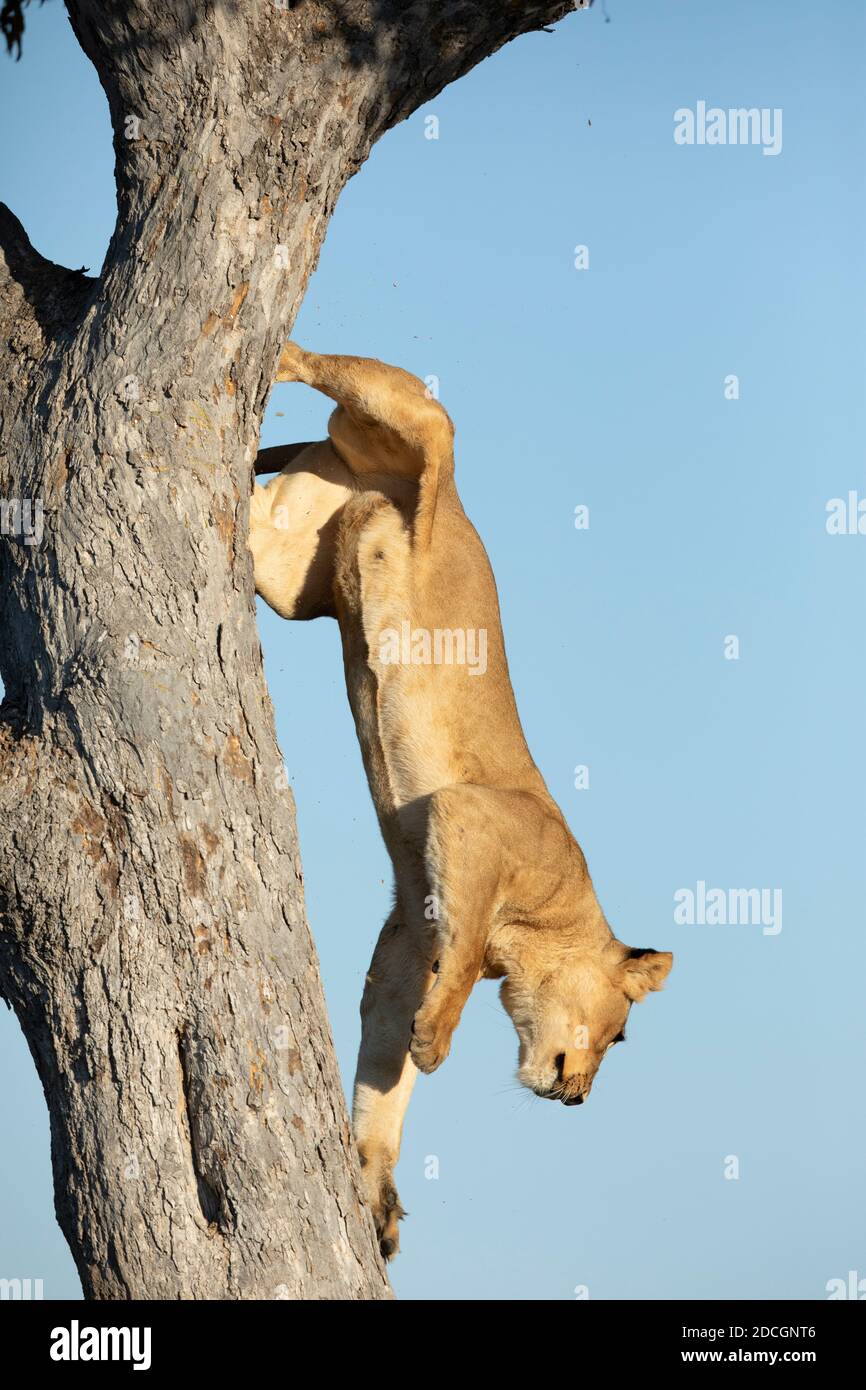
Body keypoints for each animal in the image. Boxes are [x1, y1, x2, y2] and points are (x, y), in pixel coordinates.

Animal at [250, 343, 673, 1259]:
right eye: (621, 1033)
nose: (580, 1098)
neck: (554, 921)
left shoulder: (409, 935)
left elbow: (384, 1072)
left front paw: (376, 1194)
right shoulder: (466, 819)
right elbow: (466, 949)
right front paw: (438, 1041)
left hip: (300, 570)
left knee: (260, 519)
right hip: (427, 430)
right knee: (346, 376)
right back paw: (268, 338)